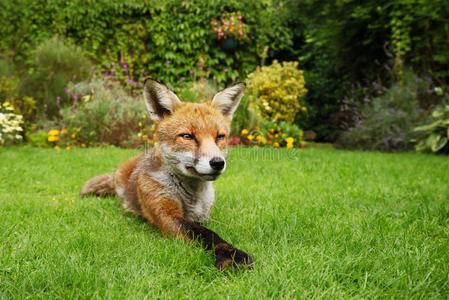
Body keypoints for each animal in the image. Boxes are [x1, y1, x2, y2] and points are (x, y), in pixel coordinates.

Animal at [81, 78, 254, 270]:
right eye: (187, 136)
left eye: (220, 137)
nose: (217, 163)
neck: (192, 196)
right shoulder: (166, 214)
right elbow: (206, 234)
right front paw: (231, 255)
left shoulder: (204, 216)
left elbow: (205, 228)